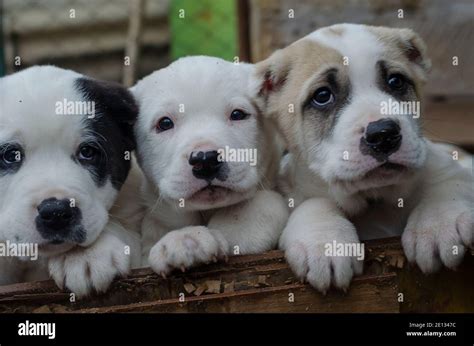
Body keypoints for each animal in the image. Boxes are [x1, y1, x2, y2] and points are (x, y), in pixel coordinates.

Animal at [258, 23, 472, 294]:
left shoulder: (450, 169)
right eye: (322, 96)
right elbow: (315, 203)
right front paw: (325, 240)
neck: (374, 199)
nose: (383, 134)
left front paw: (438, 223)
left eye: (395, 81)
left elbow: (448, 182)